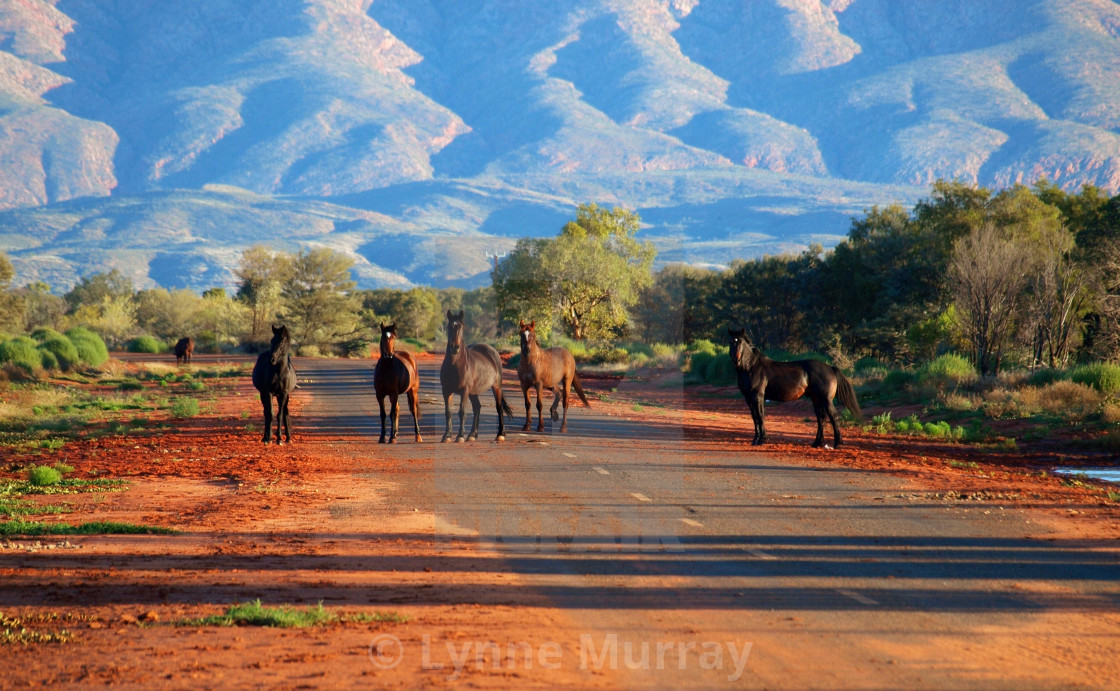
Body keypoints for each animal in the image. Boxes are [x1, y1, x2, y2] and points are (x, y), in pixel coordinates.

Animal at [439, 309, 512, 441]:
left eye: (461, 327)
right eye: (449, 327)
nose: (454, 348)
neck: (454, 365)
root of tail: (492, 352)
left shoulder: (464, 390)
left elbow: (462, 411)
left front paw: (460, 436)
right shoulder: (446, 390)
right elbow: (448, 412)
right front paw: (447, 436)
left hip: (496, 387)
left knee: (499, 408)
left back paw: (500, 434)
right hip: (473, 392)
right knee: (477, 407)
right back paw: (472, 435)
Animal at [730, 327, 860, 447]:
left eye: (741, 342)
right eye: (731, 342)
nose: (736, 360)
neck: (752, 367)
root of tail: (830, 368)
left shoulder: (758, 396)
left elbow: (760, 416)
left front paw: (762, 440)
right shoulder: (748, 398)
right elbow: (754, 418)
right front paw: (755, 440)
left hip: (826, 399)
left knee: (833, 417)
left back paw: (838, 443)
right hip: (816, 399)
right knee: (821, 418)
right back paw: (817, 442)